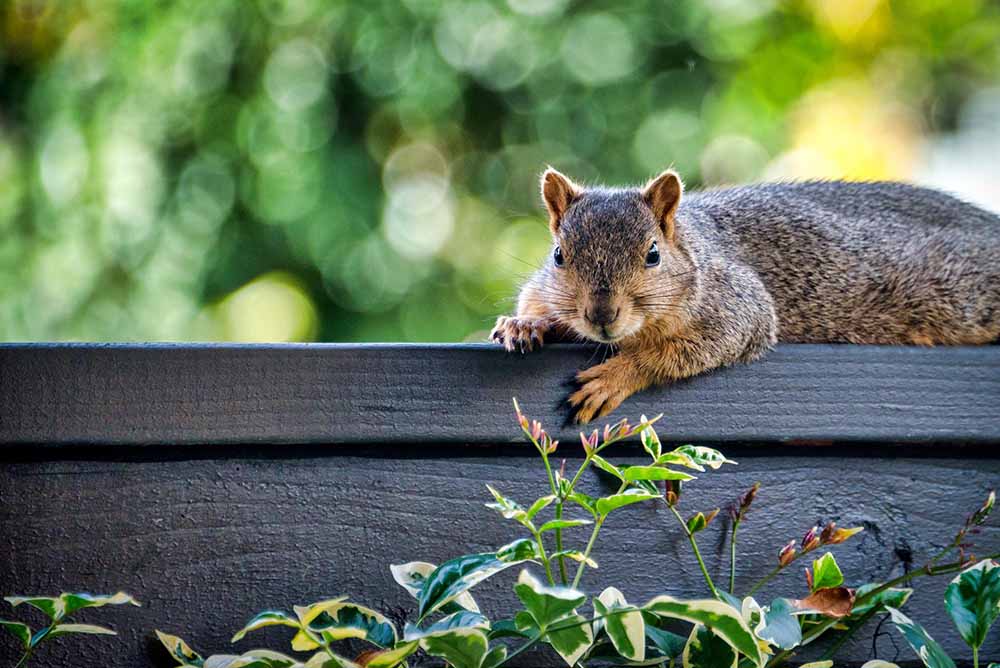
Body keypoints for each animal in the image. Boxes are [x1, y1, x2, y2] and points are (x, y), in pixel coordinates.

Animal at [491, 168, 1000, 423]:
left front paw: (615, 376)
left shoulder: (737, 301)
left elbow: (684, 350)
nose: (601, 314)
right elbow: (536, 302)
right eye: (559, 255)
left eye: (652, 254)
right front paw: (525, 324)